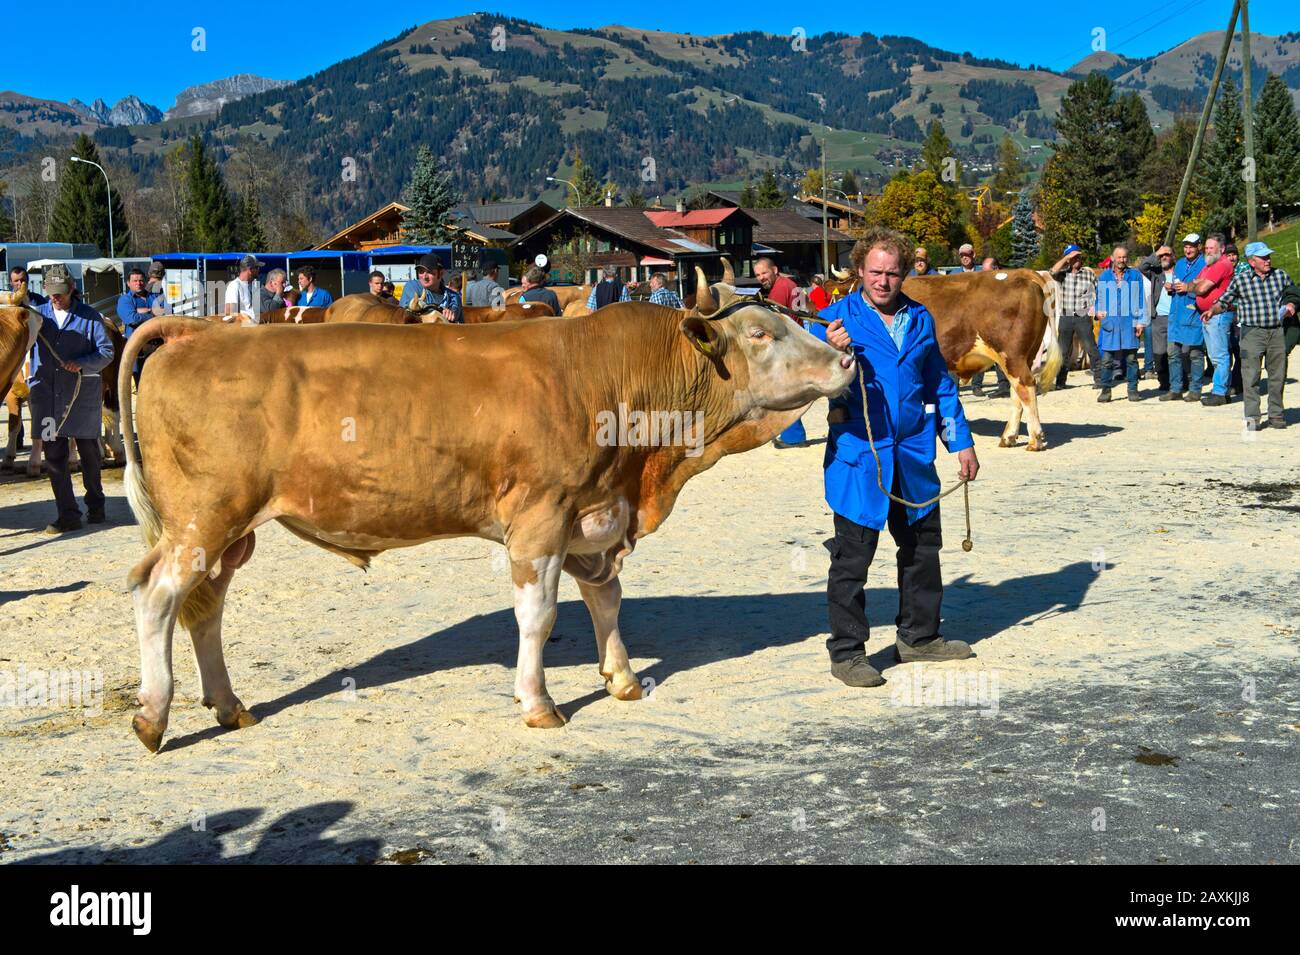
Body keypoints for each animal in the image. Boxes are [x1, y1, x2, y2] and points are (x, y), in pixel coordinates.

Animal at [116, 276, 857, 753]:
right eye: (760, 332)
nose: (847, 354)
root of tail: (197, 330)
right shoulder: (540, 517)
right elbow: (539, 615)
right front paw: (539, 703)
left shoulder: (593, 515)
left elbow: (607, 599)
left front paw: (620, 677)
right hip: (203, 517)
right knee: (157, 596)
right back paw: (154, 715)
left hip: (228, 532)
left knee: (205, 608)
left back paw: (228, 705)